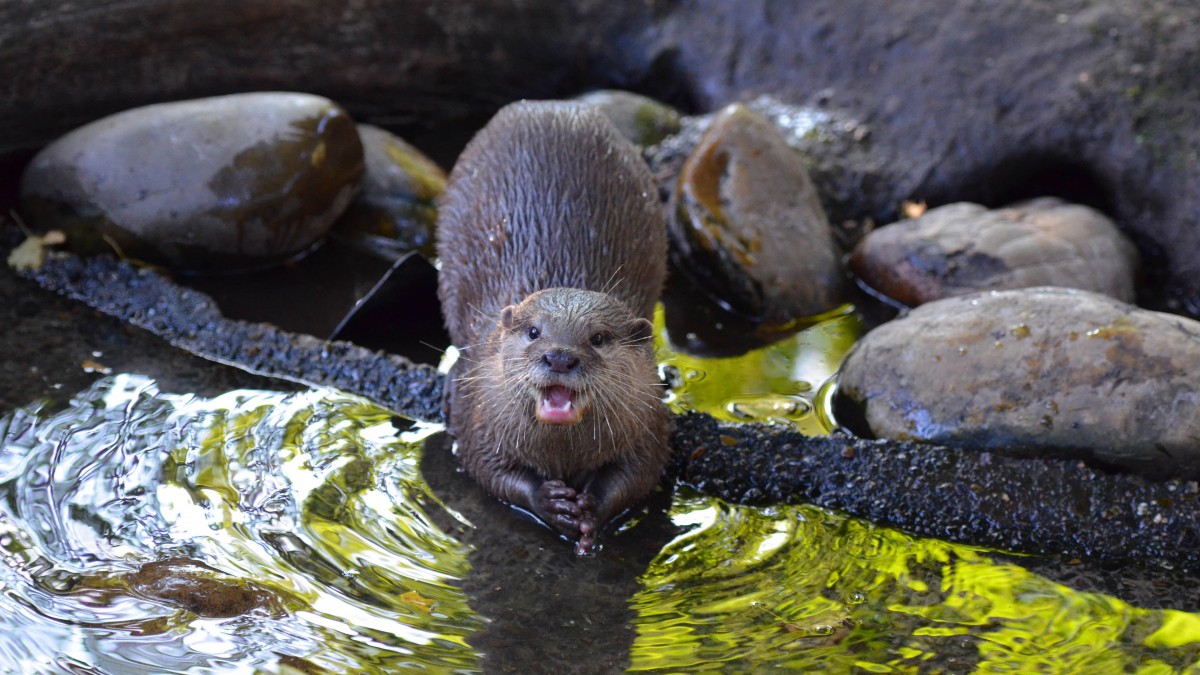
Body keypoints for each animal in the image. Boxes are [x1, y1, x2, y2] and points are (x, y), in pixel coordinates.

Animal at [436, 99, 672, 552]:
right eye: (534, 332)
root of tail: (553, 106)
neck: (563, 453)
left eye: (598, 338)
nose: (560, 356)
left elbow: (640, 474)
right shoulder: (479, 415)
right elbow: (484, 467)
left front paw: (592, 509)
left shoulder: (649, 419)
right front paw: (549, 503)